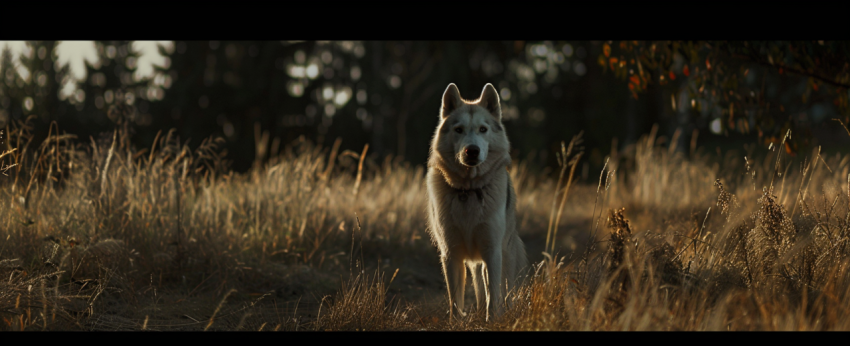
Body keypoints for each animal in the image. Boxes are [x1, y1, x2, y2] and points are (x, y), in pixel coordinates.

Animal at [422, 82, 524, 320]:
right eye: (458, 129)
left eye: (483, 129)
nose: (472, 151)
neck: (468, 189)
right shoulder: (450, 254)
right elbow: (455, 299)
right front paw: (456, 322)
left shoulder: (492, 251)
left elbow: (493, 297)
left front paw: (492, 321)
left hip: (503, 256)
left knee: (501, 291)